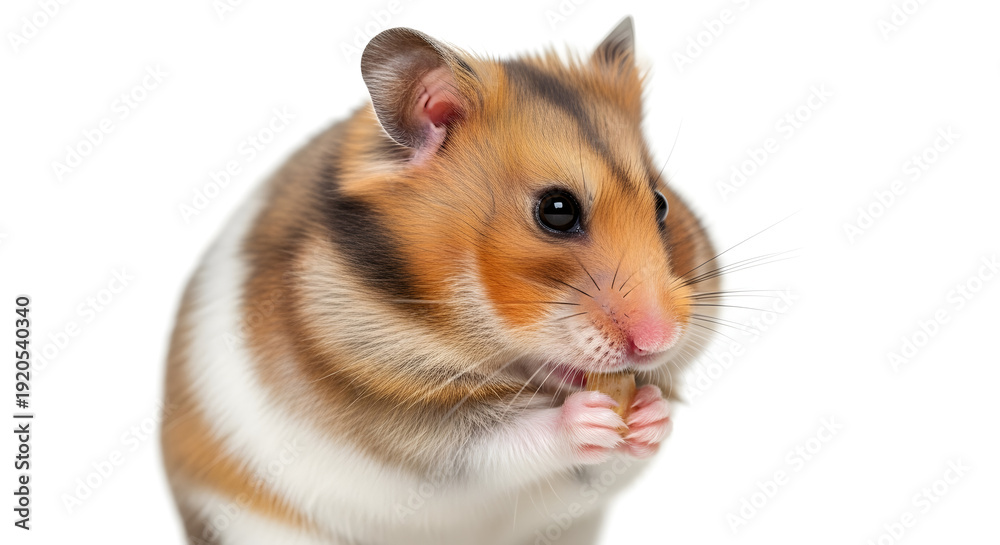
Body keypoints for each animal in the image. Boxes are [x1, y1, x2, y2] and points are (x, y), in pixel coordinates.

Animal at [161, 17, 717, 545]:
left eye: (662, 204)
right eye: (556, 211)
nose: (658, 342)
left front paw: (650, 414)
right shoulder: (410, 433)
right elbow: (495, 444)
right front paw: (590, 418)